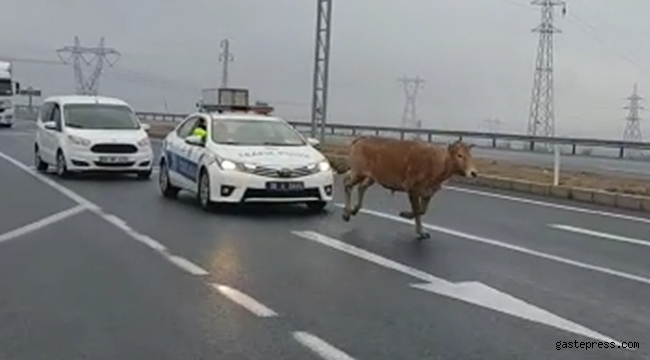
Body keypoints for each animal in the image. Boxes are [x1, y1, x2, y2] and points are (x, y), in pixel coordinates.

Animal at [340, 136, 476, 240]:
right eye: (460, 155)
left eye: (471, 155)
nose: (474, 173)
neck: (437, 165)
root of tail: (360, 139)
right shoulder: (412, 188)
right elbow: (417, 211)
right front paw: (413, 223)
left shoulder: (428, 192)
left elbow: (422, 210)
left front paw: (420, 228)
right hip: (358, 172)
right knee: (347, 183)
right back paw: (346, 213)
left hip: (371, 177)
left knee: (360, 187)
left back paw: (354, 210)